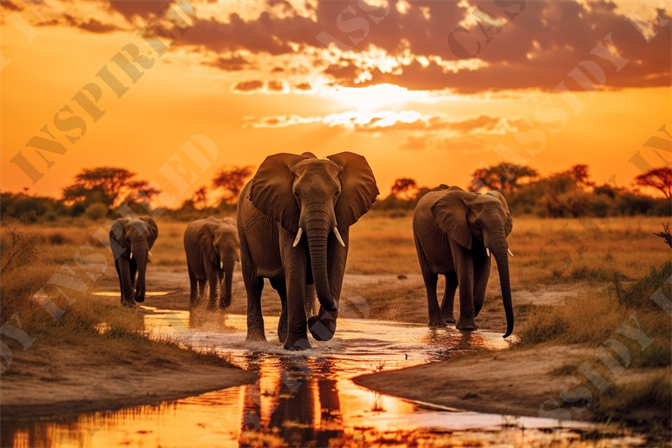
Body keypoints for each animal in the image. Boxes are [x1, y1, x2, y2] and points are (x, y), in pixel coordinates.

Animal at [239, 150, 380, 350]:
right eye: (296, 194)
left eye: (337, 193)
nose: (313, 320)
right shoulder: (286, 210)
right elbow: (296, 264)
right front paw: (298, 348)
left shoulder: (343, 211)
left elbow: (336, 263)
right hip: (242, 230)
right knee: (254, 284)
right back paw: (256, 343)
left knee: (285, 286)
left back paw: (281, 338)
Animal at [410, 185, 516, 336]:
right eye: (478, 224)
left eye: (505, 222)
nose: (504, 335)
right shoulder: (456, 228)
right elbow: (465, 268)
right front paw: (467, 328)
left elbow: (484, 269)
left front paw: (472, 310)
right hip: (418, 236)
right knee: (430, 278)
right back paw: (437, 324)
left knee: (452, 279)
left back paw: (448, 320)